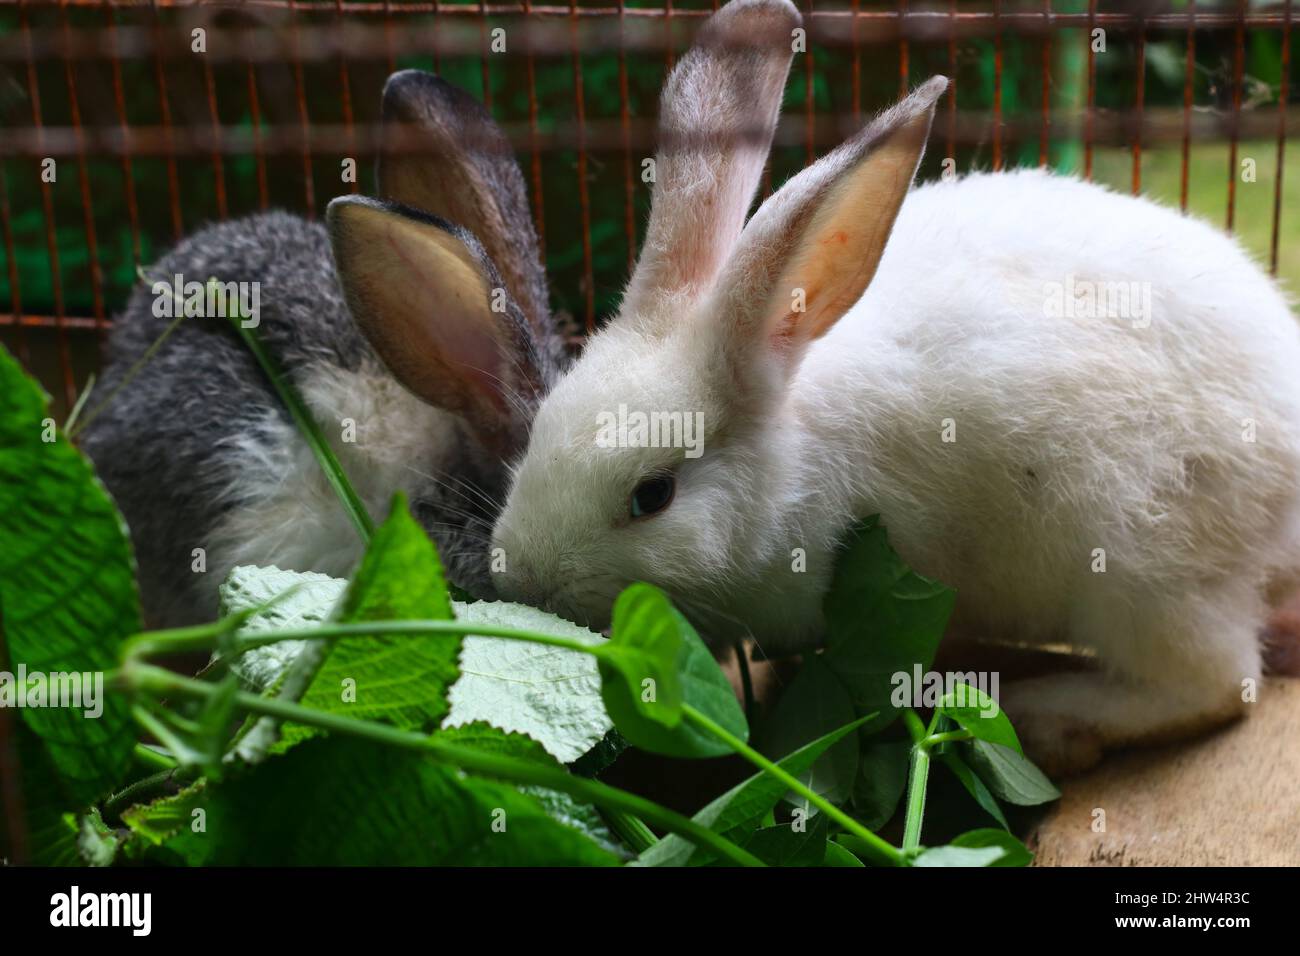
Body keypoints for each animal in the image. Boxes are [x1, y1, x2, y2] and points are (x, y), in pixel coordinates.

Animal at [488, 0, 1300, 775]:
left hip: (1144, 568)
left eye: (652, 495)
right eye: (536, 432)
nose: (521, 580)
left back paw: (1053, 716)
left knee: (1216, 684)